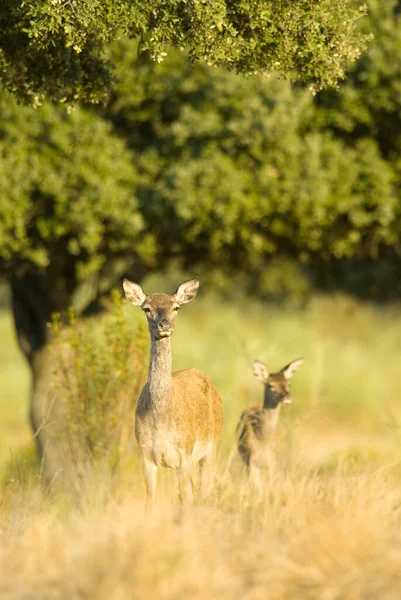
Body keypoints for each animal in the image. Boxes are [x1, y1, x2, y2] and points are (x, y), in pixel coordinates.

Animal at [122, 278, 223, 504]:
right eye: (146, 308)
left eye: (176, 307)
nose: (165, 325)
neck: (161, 418)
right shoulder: (146, 455)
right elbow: (150, 500)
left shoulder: (184, 454)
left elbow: (186, 498)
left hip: (212, 443)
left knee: (204, 490)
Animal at [234, 356, 304, 492]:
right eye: (271, 385)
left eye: (289, 384)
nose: (287, 397)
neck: (262, 439)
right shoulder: (251, 459)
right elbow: (256, 486)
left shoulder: (273, 460)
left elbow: (271, 484)